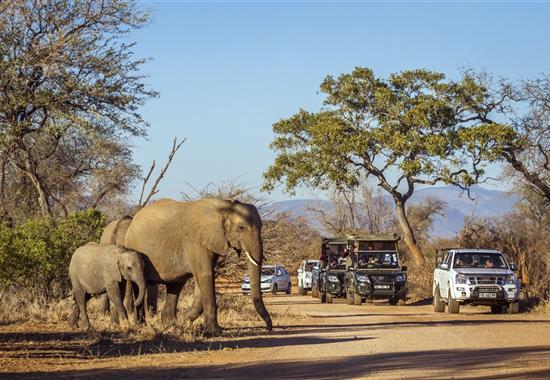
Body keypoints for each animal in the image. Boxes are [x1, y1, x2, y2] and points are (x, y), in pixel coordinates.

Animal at [124, 197, 272, 334]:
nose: (268, 329)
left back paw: (171, 324)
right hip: (134, 249)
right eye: (241, 228)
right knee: (140, 286)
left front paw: (185, 320)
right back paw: (142, 325)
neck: (225, 206)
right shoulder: (195, 241)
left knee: (175, 285)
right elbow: (205, 274)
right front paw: (214, 331)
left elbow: (204, 276)